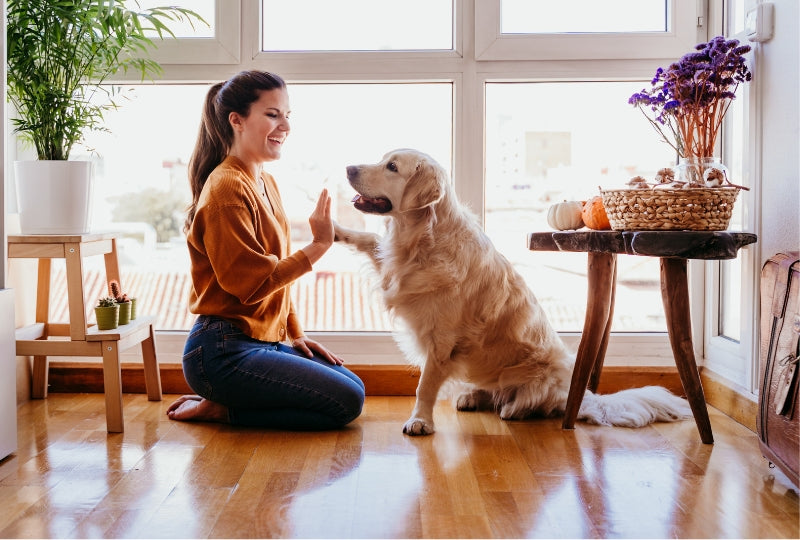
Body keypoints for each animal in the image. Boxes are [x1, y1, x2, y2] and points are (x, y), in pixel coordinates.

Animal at [334, 150, 692, 436]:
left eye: (392, 166)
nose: (348, 168)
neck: (422, 239)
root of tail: (580, 395)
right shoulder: (394, 269)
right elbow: (369, 240)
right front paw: (335, 230)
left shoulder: (442, 340)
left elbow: (425, 386)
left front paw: (420, 421)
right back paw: (472, 397)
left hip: (541, 374)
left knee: (534, 402)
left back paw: (514, 409)